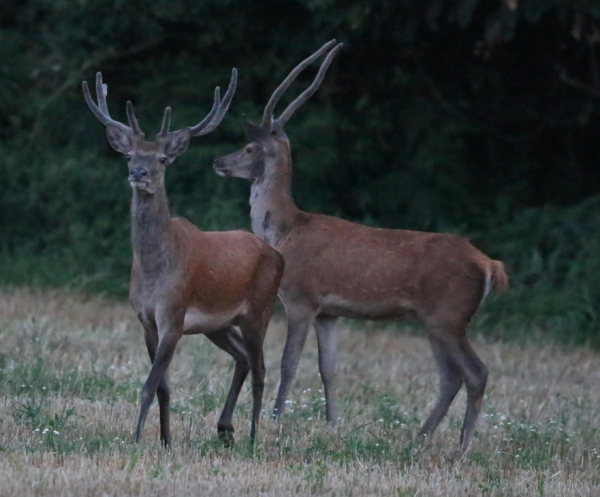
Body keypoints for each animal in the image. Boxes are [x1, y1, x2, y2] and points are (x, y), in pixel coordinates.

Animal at [82, 70, 284, 448]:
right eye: (129, 156)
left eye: (162, 159)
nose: (139, 174)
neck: (154, 271)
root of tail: (277, 254)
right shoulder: (146, 319)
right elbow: (162, 386)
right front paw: (165, 439)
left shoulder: (173, 315)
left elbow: (148, 385)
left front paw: (135, 439)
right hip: (219, 324)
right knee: (243, 359)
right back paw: (225, 428)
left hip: (259, 310)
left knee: (262, 368)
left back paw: (251, 437)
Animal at [212, 40, 509, 451]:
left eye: (249, 148)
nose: (218, 161)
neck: (286, 232)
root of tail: (489, 265)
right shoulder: (330, 312)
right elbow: (329, 369)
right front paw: (332, 423)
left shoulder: (302, 297)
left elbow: (290, 363)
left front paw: (276, 419)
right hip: (440, 319)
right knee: (452, 376)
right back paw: (421, 437)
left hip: (447, 314)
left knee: (475, 372)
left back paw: (460, 447)